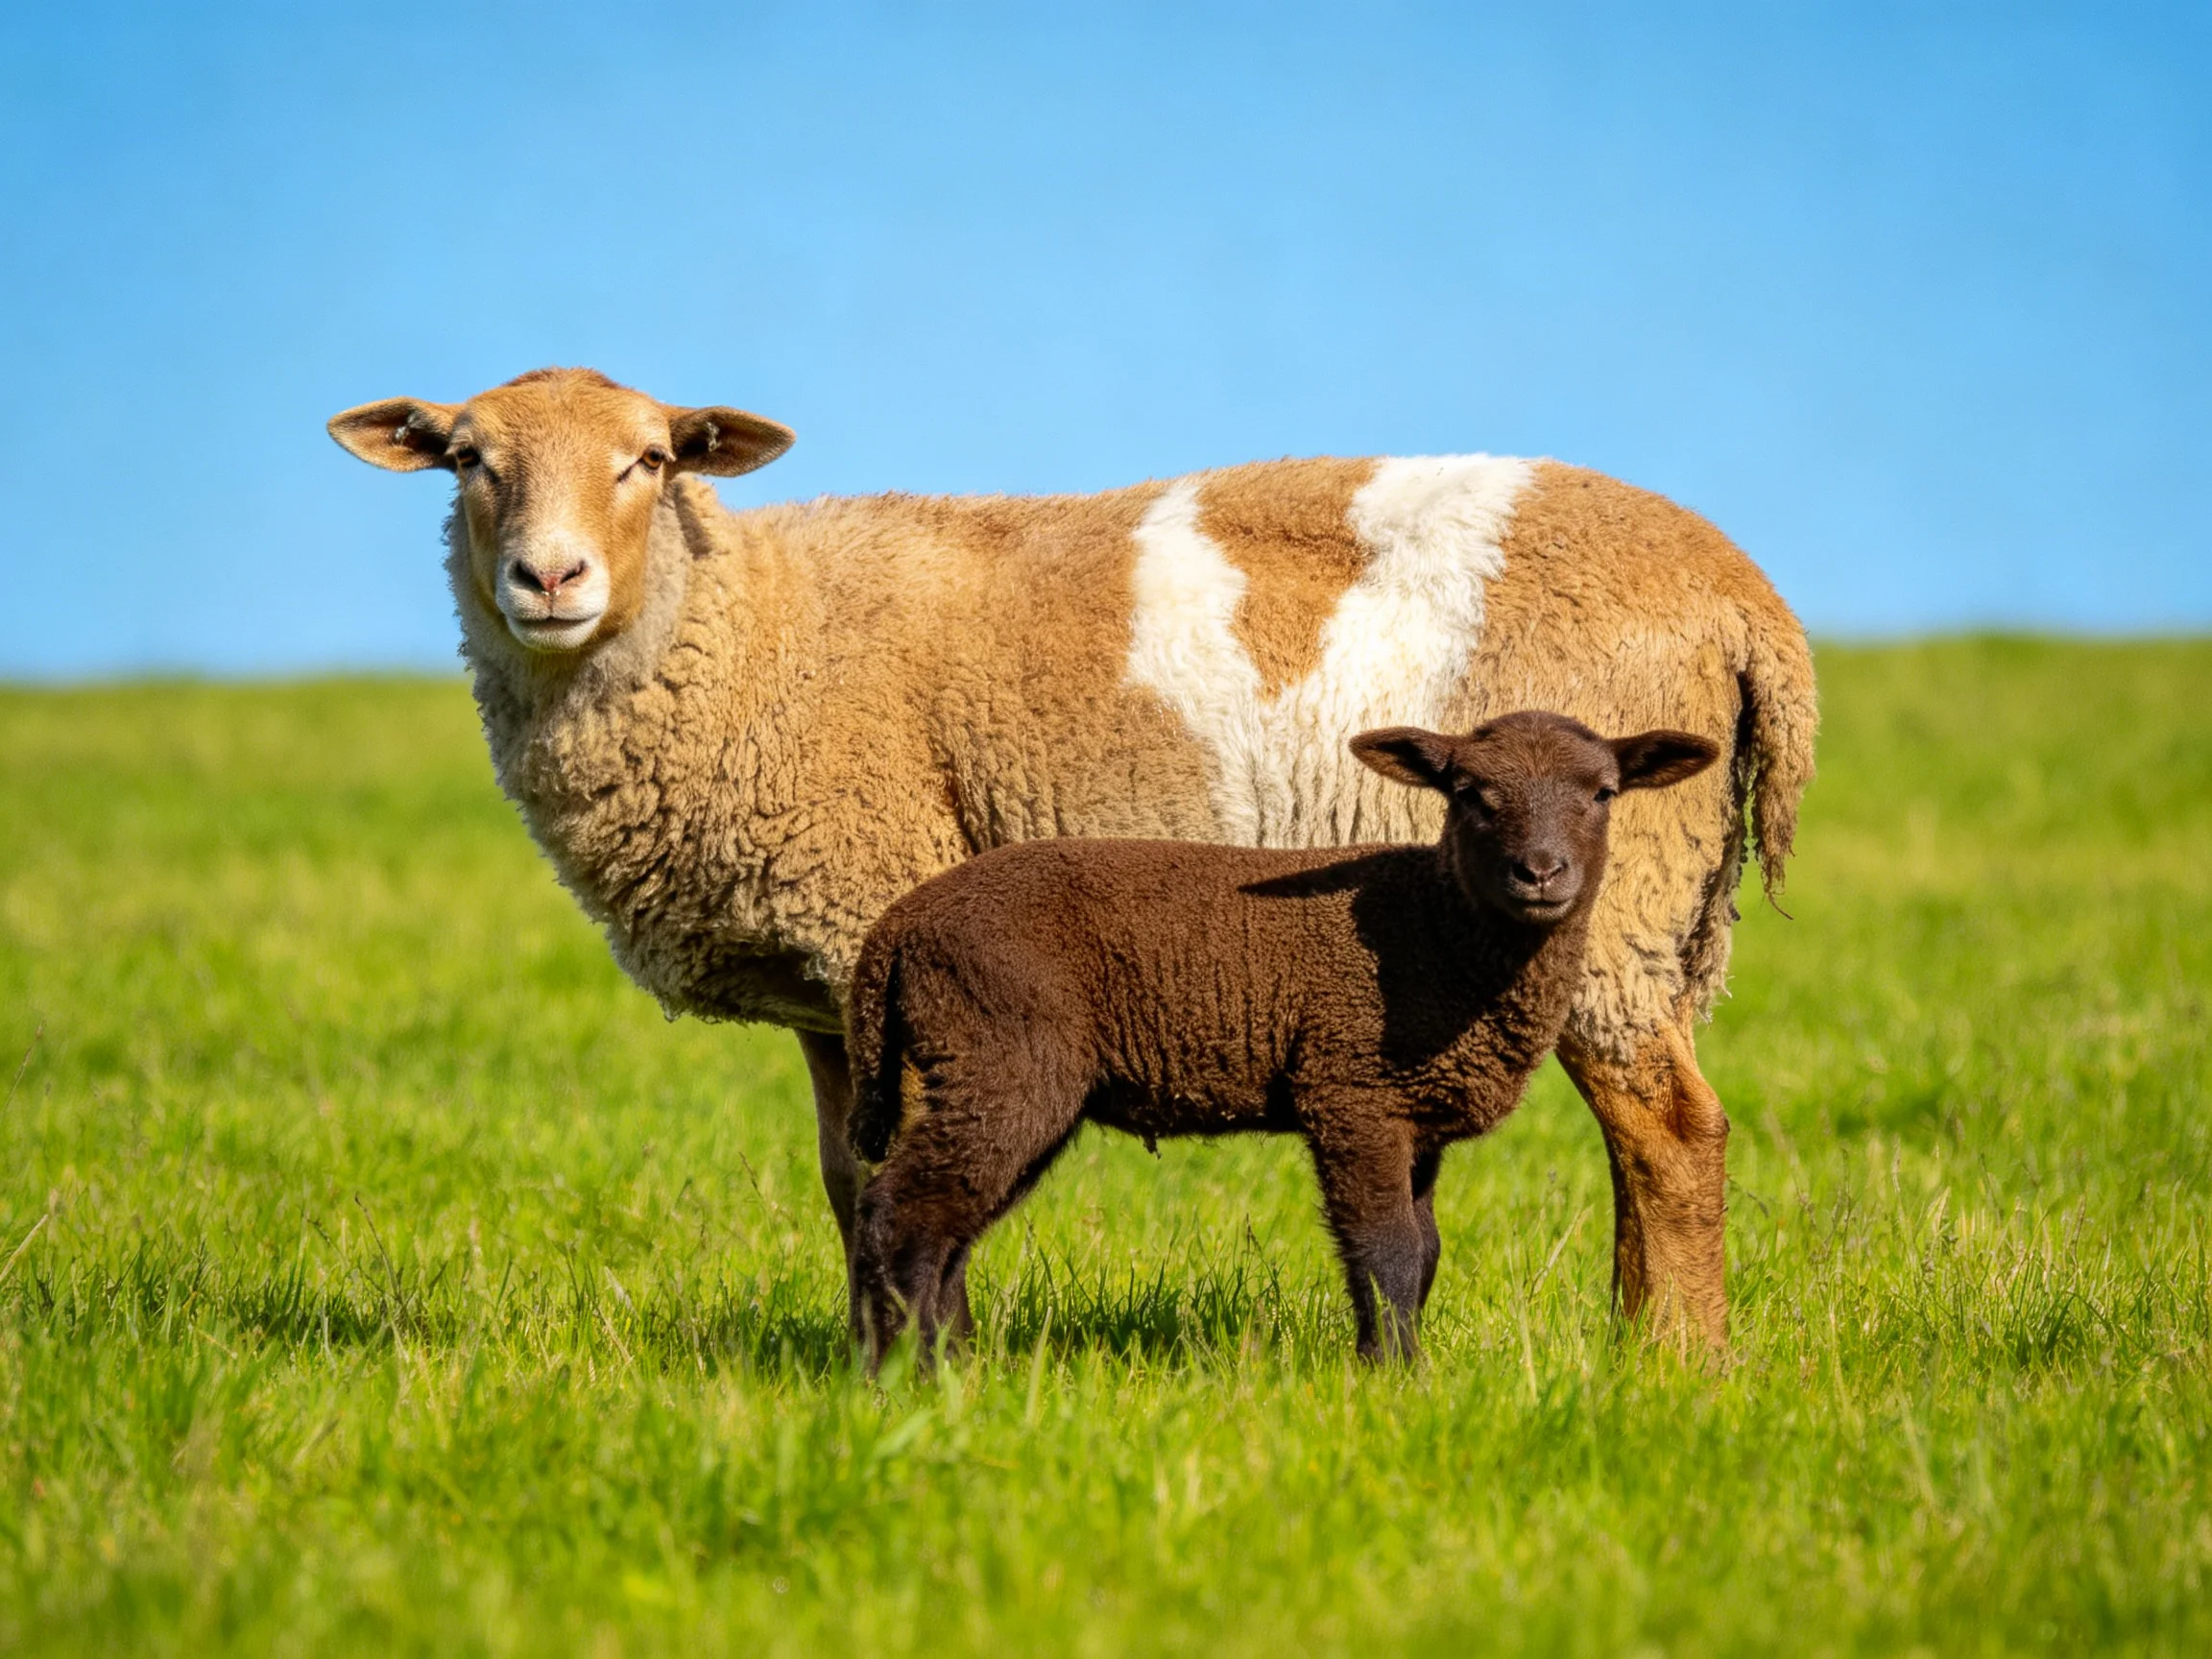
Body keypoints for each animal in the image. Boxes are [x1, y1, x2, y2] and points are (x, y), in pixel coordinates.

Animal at [844, 712, 1721, 1367]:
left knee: (947, 1224)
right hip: (1002, 1055)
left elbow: (1425, 1250)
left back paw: (946, 1363)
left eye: (1603, 792)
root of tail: (897, 929)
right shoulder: (1352, 1093)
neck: (1439, 930)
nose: (1541, 873)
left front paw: (1386, 1363)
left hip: (998, 1073)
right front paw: (1397, 1377)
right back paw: (909, 1374)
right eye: (1471, 794)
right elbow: (1388, 1249)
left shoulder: (1415, 1121)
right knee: (900, 1213)